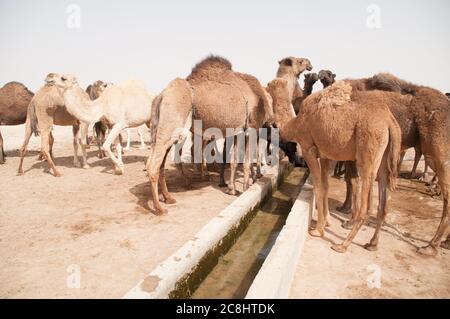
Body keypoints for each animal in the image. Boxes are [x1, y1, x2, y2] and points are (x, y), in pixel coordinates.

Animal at [268, 79, 402, 254]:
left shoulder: (308, 148)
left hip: (368, 149)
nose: (266, 87)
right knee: (383, 199)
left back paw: (342, 245)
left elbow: (318, 186)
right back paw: (372, 244)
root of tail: (389, 121)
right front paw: (326, 223)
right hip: (384, 155)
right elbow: (325, 187)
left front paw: (318, 230)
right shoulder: (326, 155)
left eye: (269, 87)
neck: (296, 122)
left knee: (366, 203)